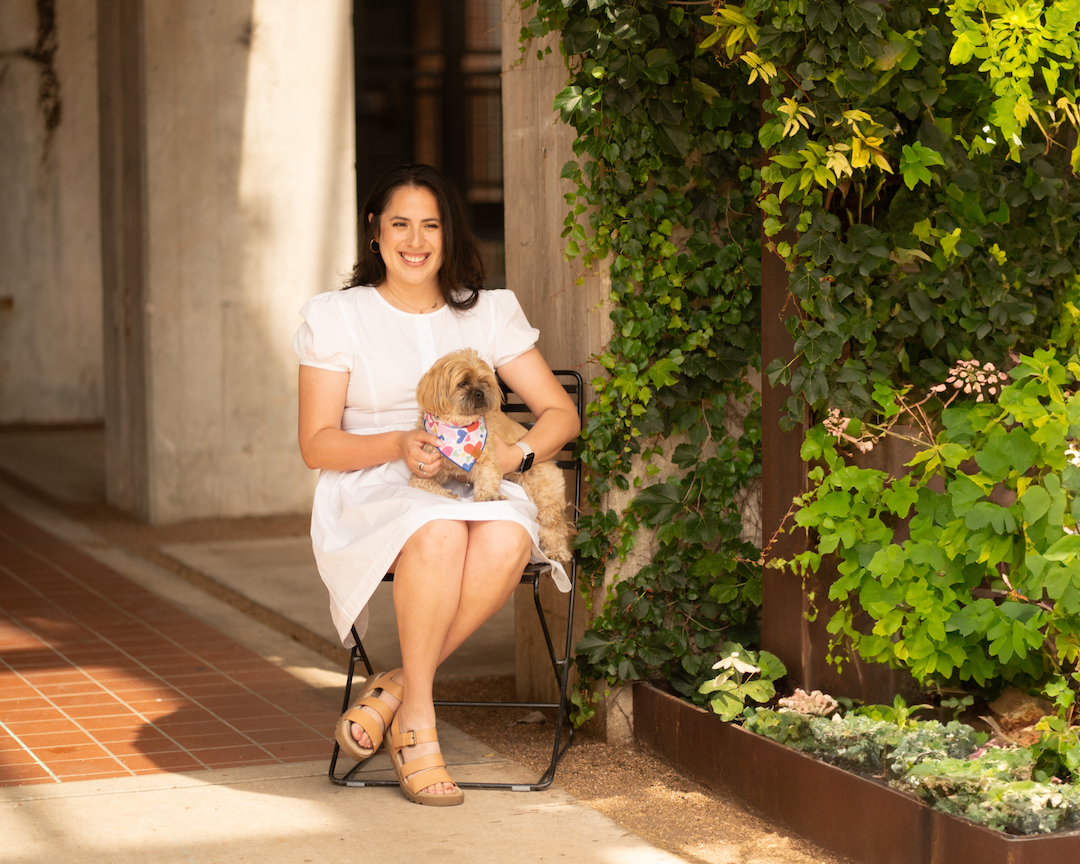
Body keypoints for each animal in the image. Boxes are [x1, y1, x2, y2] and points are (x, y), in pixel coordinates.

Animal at [406, 347, 574, 561]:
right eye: (462, 383)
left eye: (484, 382)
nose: (480, 392)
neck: (456, 428)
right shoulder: (423, 469)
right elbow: (423, 485)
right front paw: (448, 495)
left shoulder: (487, 460)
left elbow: (487, 479)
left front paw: (489, 497)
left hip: (543, 496)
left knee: (555, 527)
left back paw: (558, 551)